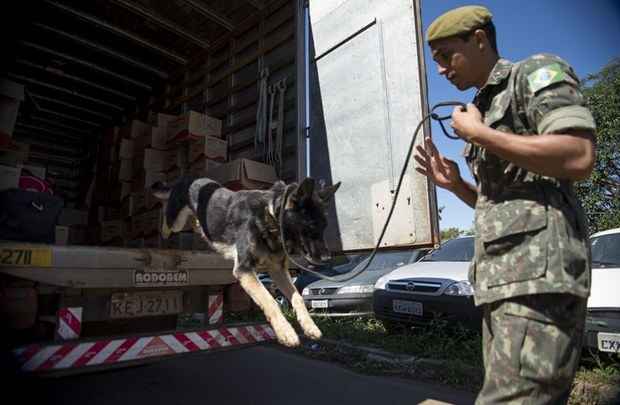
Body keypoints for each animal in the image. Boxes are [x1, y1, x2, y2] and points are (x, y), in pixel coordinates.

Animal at [153, 175, 342, 346]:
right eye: (311, 226)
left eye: (324, 226)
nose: (328, 258)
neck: (270, 215)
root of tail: (187, 178)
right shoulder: (244, 270)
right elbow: (270, 301)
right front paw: (286, 332)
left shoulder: (278, 271)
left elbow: (298, 298)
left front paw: (310, 327)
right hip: (176, 221)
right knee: (165, 223)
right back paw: (163, 234)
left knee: (197, 223)